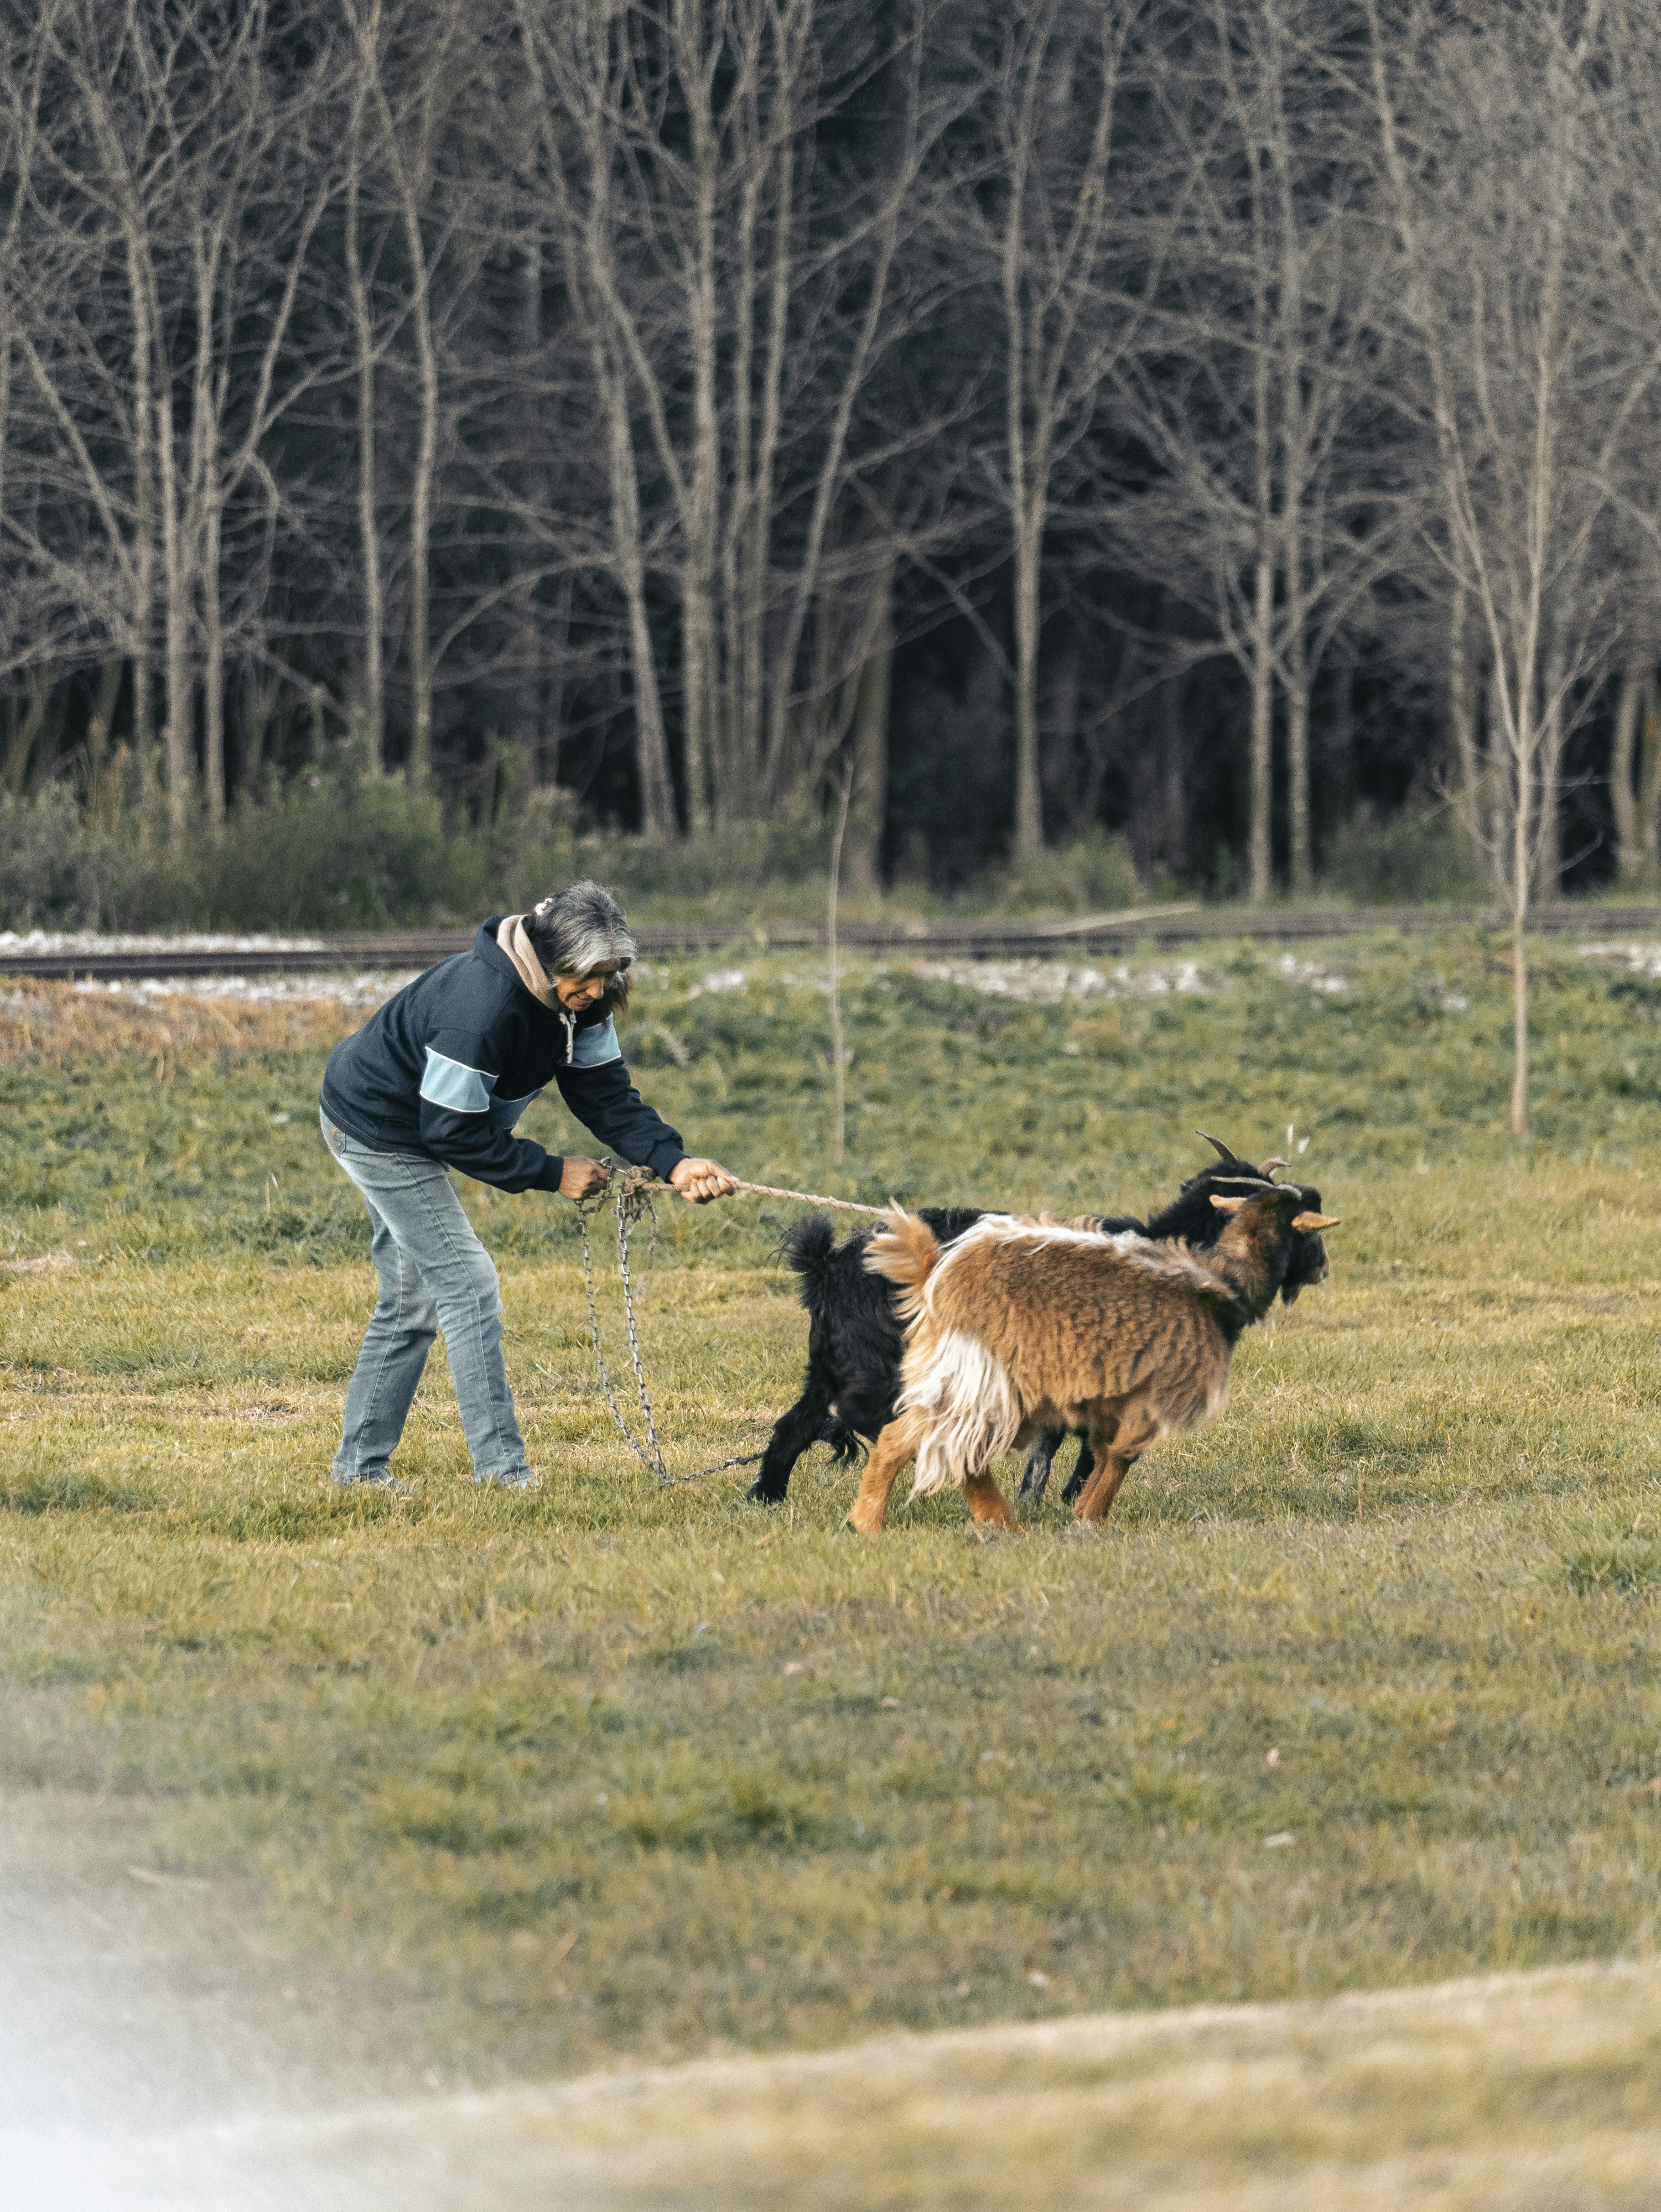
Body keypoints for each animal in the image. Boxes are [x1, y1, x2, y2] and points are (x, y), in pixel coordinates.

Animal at [747, 1136, 1322, 1509]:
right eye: (1292, 1220)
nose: (1321, 1265)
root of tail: (827, 1264)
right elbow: (1085, 1446)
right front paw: (1059, 1499)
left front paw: (1050, 1499)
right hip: (880, 1365)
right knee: (858, 1416)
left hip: (832, 1363)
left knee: (797, 1423)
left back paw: (767, 1497)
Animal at [845, 1181, 1339, 1536]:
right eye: (1309, 1232)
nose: (1324, 1270)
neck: (1221, 1284)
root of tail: (934, 1272)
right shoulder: (1153, 1392)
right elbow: (1123, 1455)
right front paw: (1090, 1517)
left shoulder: (1111, 1397)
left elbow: (1103, 1454)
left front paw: (1083, 1510)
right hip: (980, 1377)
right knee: (912, 1441)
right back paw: (870, 1524)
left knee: (952, 1451)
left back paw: (998, 1524)